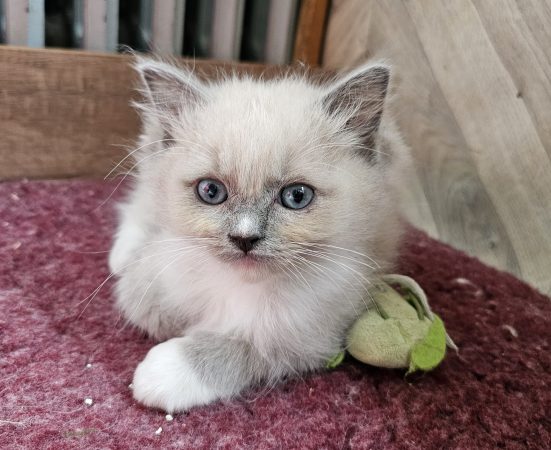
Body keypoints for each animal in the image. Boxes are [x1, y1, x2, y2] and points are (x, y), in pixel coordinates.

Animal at [109, 58, 410, 414]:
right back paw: (121, 255)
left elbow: (244, 344)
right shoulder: (152, 282)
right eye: (211, 191)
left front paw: (165, 371)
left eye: (297, 196)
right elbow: (148, 306)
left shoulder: (311, 334)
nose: (244, 238)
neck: (243, 288)